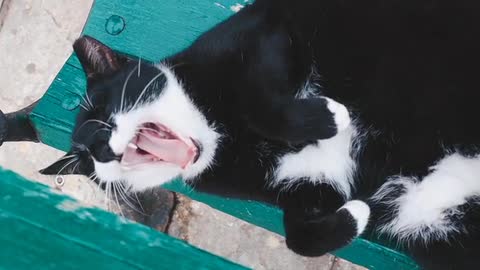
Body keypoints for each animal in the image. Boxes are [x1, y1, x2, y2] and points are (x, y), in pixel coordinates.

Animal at [41, 1, 480, 268]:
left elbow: (259, 99)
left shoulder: (263, 31)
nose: (101, 151)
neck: (221, 138)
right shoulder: (305, 188)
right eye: (88, 163)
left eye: (104, 113)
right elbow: (299, 236)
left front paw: (330, 118)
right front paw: (356, 215)